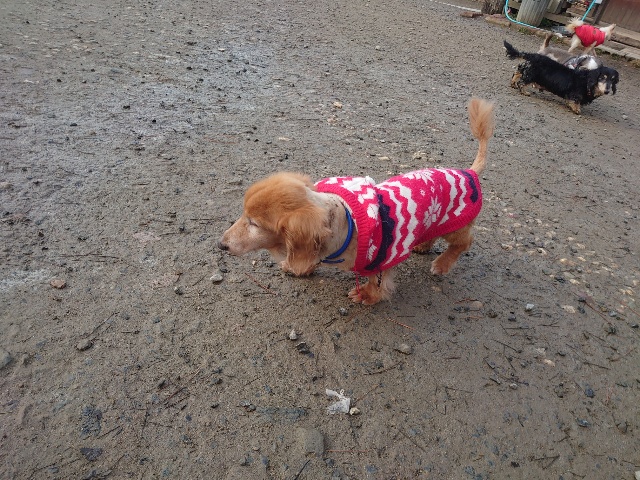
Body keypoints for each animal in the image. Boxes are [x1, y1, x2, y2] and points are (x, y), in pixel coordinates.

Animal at [219, 98, 495, 305]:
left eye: (254, 224)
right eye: (243, 214)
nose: (221, 245)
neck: (346, 223)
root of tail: (469, 173)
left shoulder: (381, 260)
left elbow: (377, 282)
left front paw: (368, 295)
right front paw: (299, 268)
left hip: (455, 227)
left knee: (464, 243)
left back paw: (442, 264)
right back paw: (422, 245)